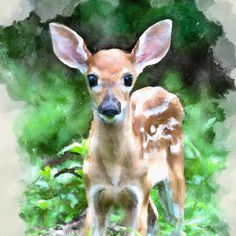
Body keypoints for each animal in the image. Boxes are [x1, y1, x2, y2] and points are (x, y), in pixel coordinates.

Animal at [49, 19, 185, 235]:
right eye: (92, 78)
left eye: (128, 78)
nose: (110, 107)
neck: (114, 174)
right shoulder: (94, 192)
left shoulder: (138, 193)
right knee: (155, 215)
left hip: (175, 172)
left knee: (177, 221)